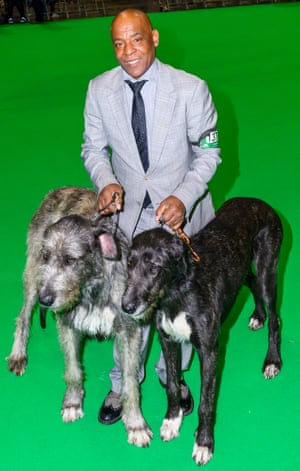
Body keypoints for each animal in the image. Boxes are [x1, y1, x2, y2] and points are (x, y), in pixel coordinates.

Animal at [7, 186, 152, 448]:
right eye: (47, 256)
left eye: (70, 260)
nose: (46, 300)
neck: (91, 285)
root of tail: (60, 190)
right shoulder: (66, 323)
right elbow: (73, 369)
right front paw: (72, 403)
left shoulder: (129, 331)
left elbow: (130, 382)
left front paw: (136, 423)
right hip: (33, 276)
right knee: (23, 317)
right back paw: (18, 354)